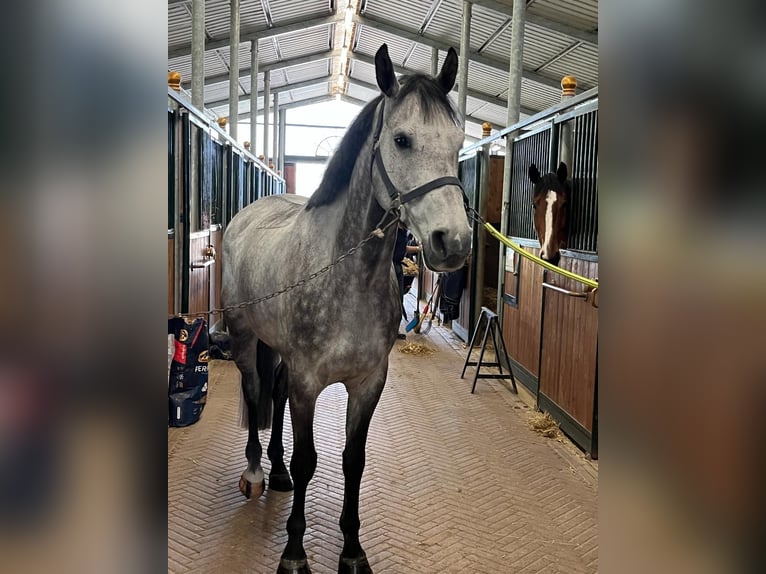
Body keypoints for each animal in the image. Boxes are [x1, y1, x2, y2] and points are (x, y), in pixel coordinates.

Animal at [221, 44, 471, 574]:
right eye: (401, 139)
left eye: (458, 141)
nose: (453, 243)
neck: (347, 277)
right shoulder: (309, 382)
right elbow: (309, 461)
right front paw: (294, 553)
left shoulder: (368, 383)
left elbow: (352, 460)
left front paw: (353, 550)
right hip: (243, 336)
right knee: (254, 391)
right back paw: (255, 472)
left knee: (274, 392)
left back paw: (275, 473)